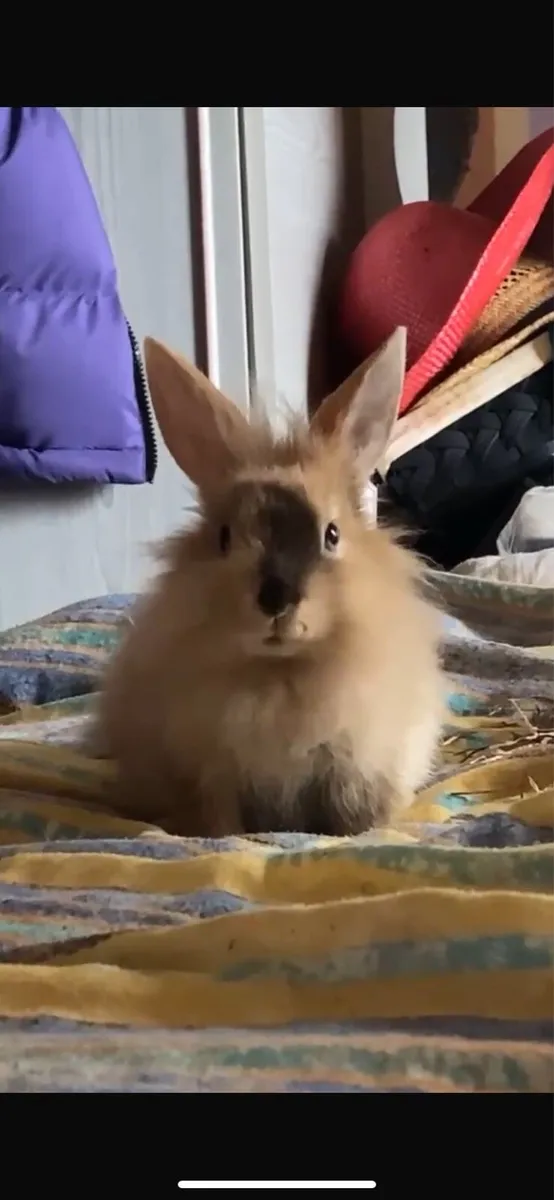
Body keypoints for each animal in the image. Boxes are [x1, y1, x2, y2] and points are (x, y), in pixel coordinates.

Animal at [91, 326, 445, 838]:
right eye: (223, 537)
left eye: (332, 534)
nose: (276, 598)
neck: (282, 671)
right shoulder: (213, 775)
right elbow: (222, 821)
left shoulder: (355, 769)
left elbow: (353, 816)